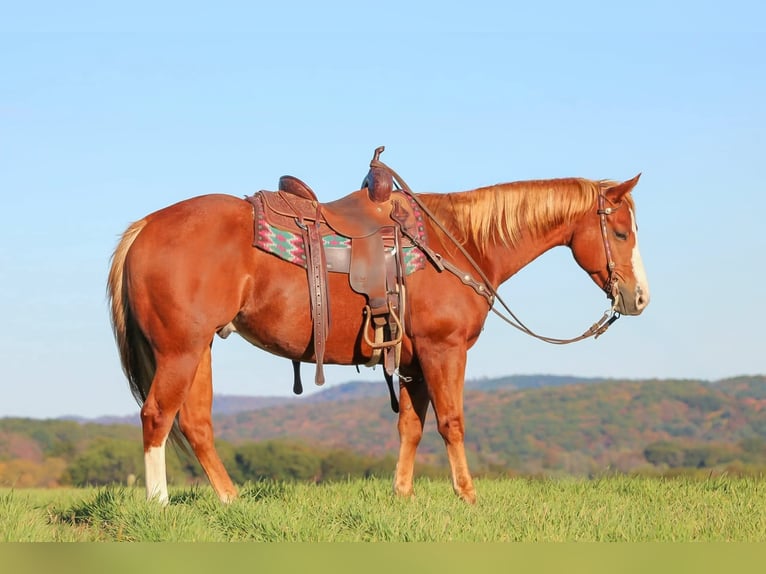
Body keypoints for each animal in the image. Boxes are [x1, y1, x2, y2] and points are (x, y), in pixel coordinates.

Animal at [107, 160, 649, 505]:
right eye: (622, 233)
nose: (639, 298)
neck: (459, 242)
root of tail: (146, 226)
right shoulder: (443, 350)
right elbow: (452, 422)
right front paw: (468, 497)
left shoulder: (411, 362)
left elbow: (411, 425)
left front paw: (402, 495)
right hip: (179, 349)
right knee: (157, 417)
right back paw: (159, 504)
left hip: (199, 349)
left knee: (196, 423)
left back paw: (230, 500)